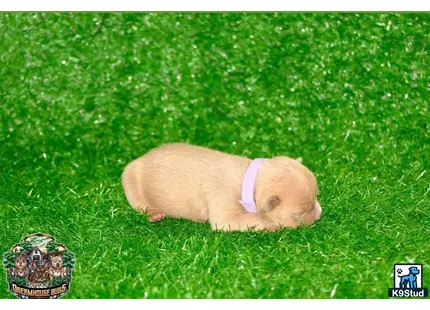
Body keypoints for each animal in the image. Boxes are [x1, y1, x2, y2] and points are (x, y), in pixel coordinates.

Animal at [120, 143, 320, 230]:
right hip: (130, 178)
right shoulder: (224, 210)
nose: (320, 214)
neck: (248, 181)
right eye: (301, 213)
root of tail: (141, 158)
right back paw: (154, 214)